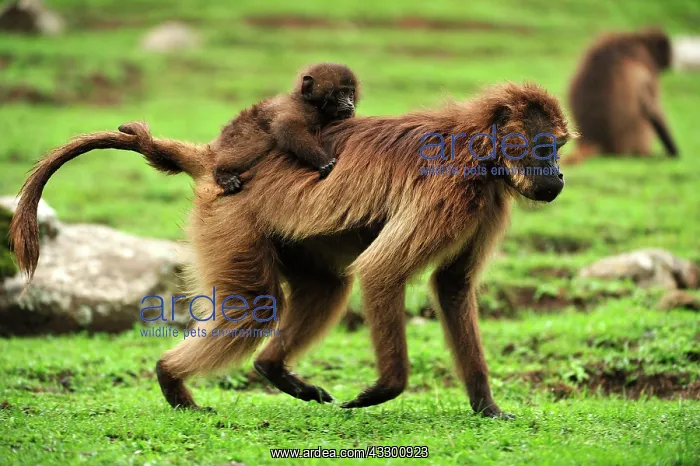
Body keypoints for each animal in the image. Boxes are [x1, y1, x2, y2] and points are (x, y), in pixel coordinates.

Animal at [9, 82, 571, 418]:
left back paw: (271, 369)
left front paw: (487, 407)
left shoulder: (485, 201)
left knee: (326, 286)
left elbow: (451, 286)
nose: (560, 177)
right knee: (257, 307)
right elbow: (382, 271)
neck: (480, 146)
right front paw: (385, 388)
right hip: (231, 220)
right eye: (546, 148)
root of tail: (217, 159)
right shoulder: (453, 189)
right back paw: (171, 376)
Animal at [212, 62, 359, 195]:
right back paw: (222, 172)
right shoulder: (302, 110)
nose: (350, 103)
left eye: (351, 94)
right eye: (341, 93)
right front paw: (323, 161)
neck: (311, 104)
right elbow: (286, 127)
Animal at [566, 27, 678, 164]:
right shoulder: (645, 61)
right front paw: (674, 152)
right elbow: (653, 109)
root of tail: (594, 138)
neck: (639, 40)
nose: (671, 61)